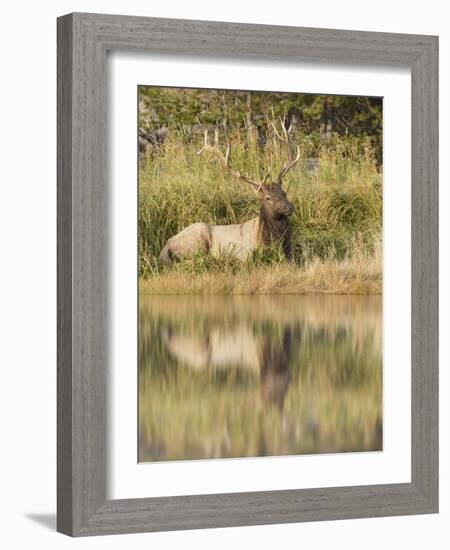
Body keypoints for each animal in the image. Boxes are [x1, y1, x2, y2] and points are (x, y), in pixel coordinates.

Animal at [158, 126, 298, 264]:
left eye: (284, 193)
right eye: (267, 198)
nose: (289, 207)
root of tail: (164, 249)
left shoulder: (290, 253)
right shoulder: (245, 255)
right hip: (196, 241)